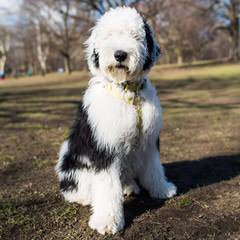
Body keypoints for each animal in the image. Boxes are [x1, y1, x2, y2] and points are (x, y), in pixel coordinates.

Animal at [55, 7, 176, 234]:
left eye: (135, 36)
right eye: (109, 36)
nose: (120, 54)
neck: (129, 93)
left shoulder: (149, 140)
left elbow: (154, 167)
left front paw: (161, 189)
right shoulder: (105, 148)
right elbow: (106, 186)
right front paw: (107, 221)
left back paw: (129, 186)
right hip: (76, 168)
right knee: (76, 191)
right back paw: (85, 198)